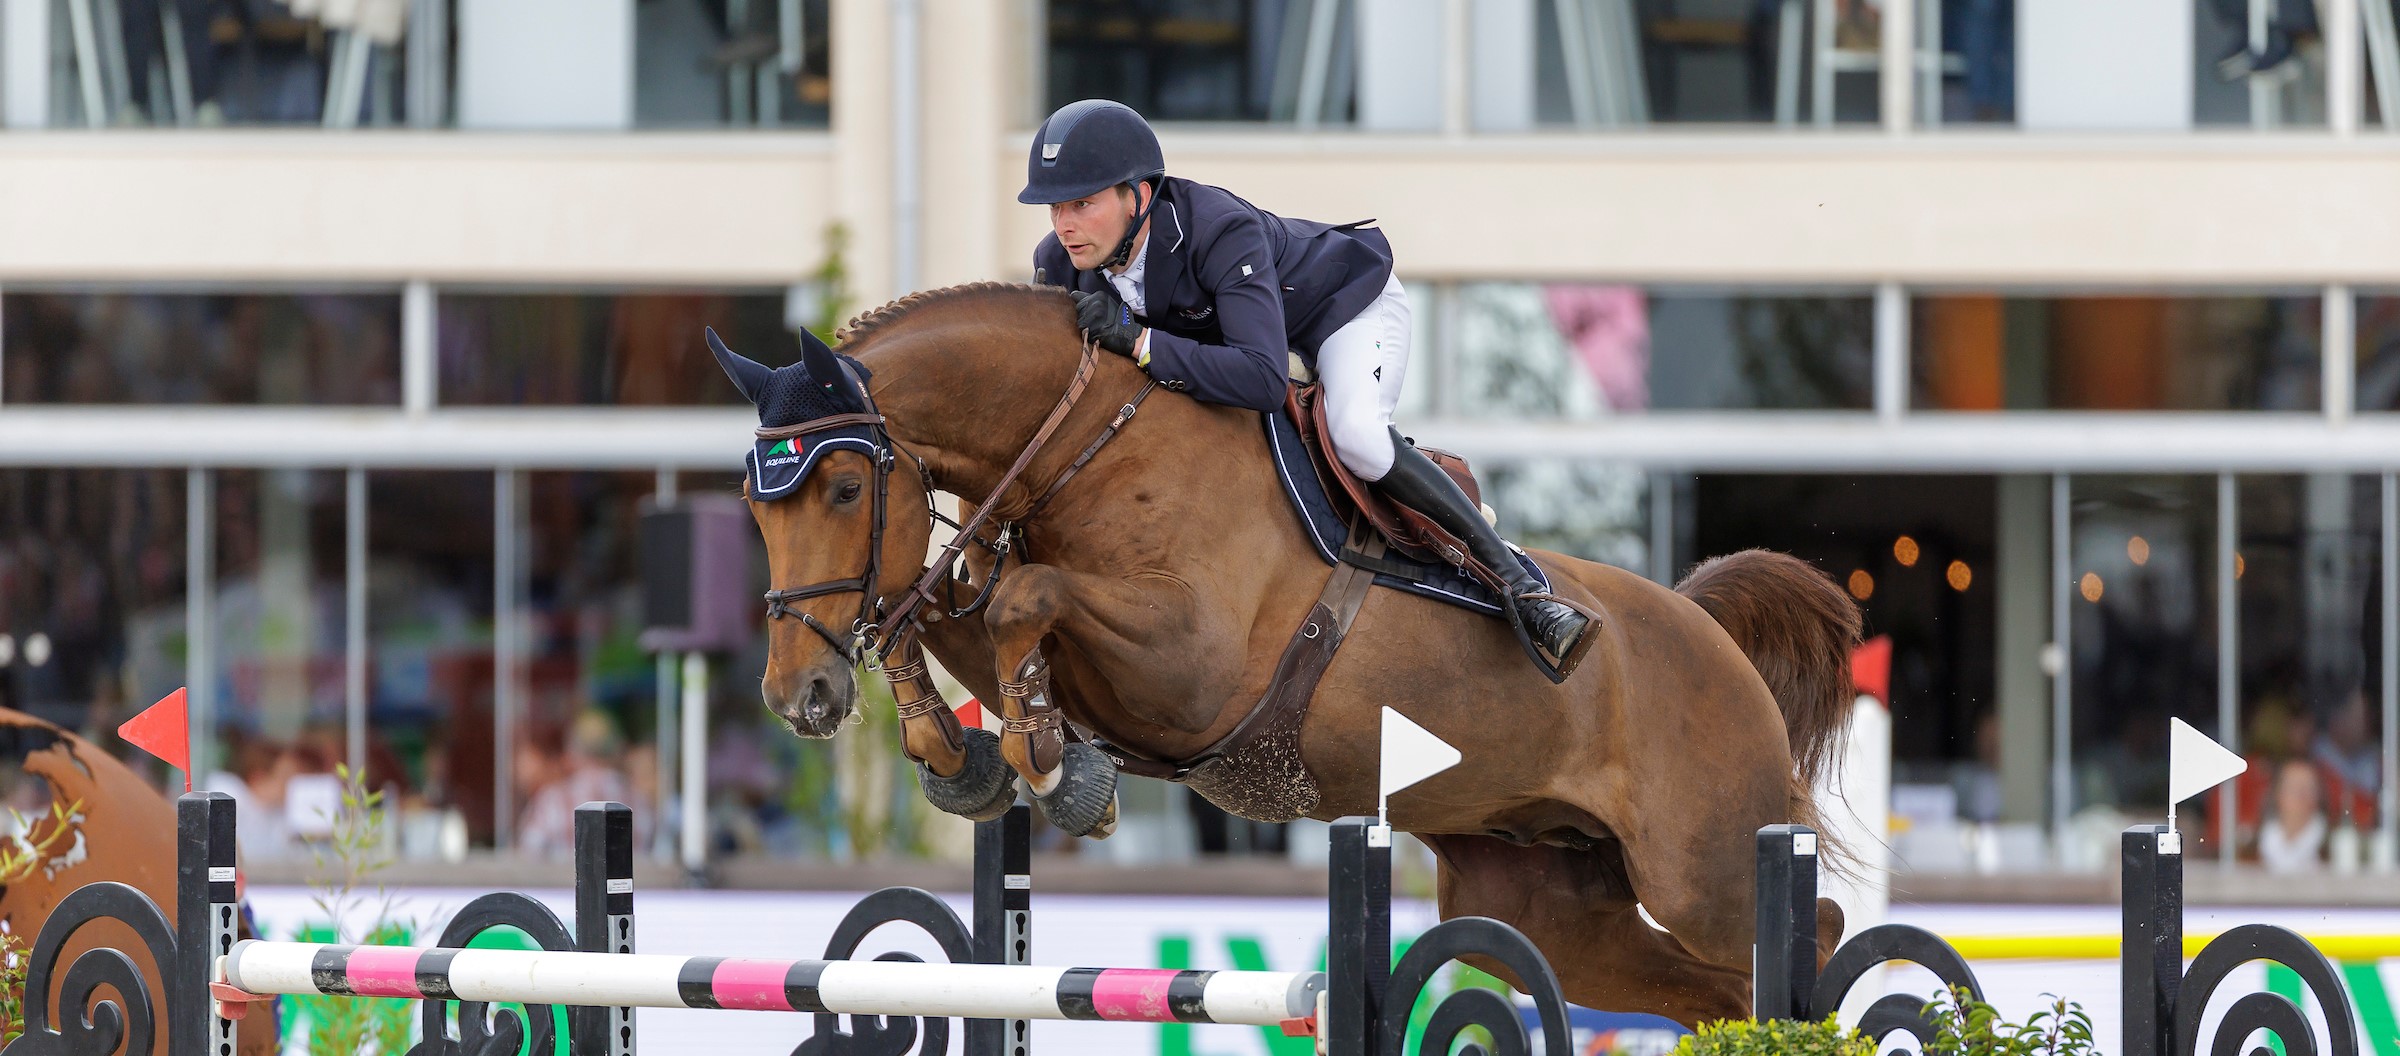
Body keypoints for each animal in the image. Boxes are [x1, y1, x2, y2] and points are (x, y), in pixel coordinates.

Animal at [710, 280, 1852, 1022]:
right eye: (751, 507)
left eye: (844, 489)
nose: (799, 697)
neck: (1089, 445)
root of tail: (1706, 628)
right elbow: (939, 612)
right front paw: (968, 758)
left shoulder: (1192, 667)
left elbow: (1017, 601)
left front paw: (1054, 768)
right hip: (1544, 905)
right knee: (1709, 995)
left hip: (1704, 867)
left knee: (1815, 933)